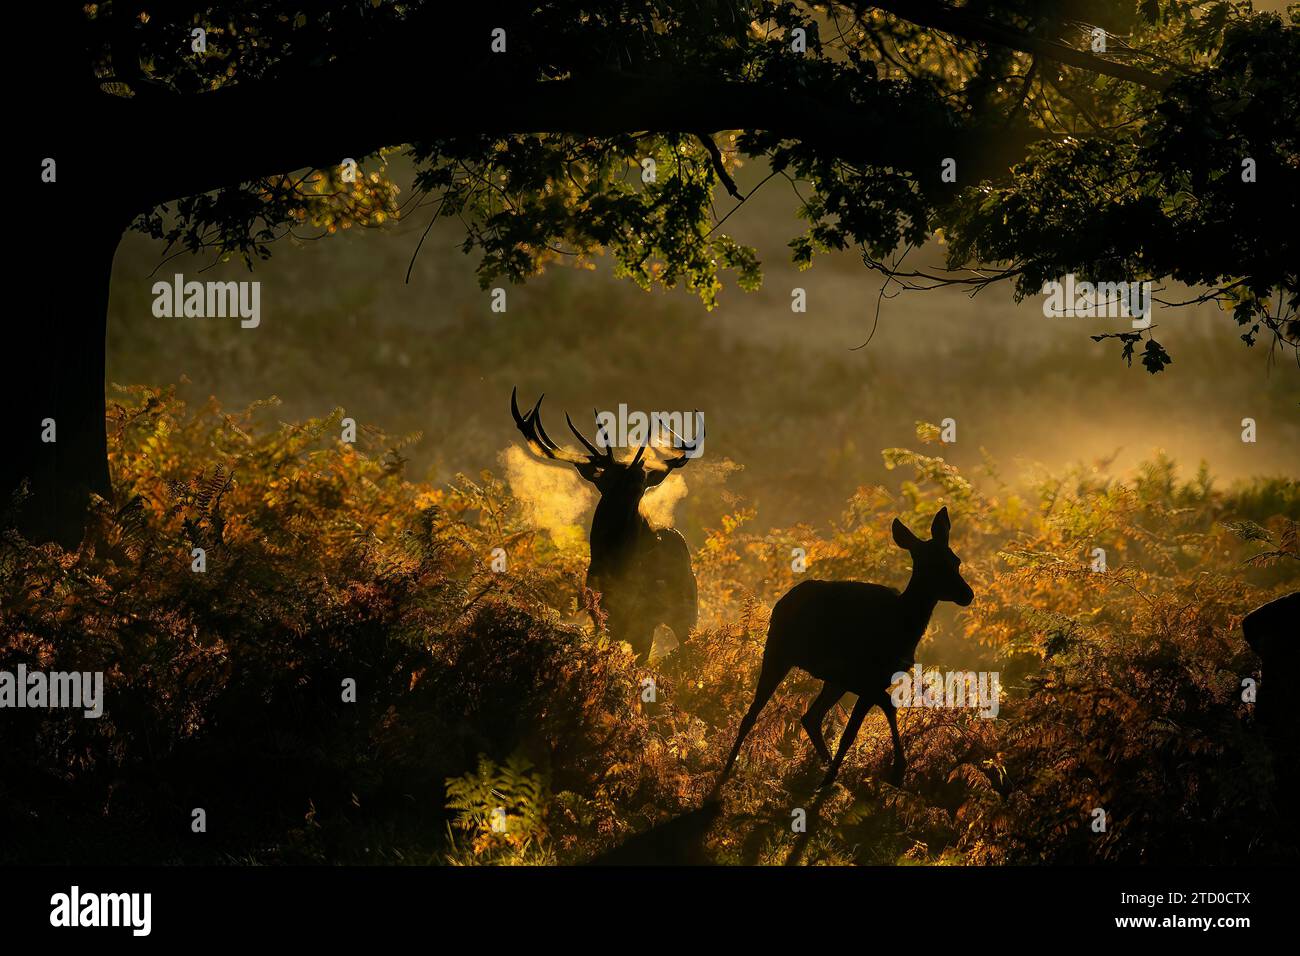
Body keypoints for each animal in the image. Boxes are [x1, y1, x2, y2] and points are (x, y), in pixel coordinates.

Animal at [511, 388, 701, 660]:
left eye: (641, 481)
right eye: (608, 478)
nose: (631, 487)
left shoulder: (643, 617)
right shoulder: (600, 613)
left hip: (687, 607)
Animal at [717, 507, 973, 791]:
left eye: (955, 560)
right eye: (932, 565)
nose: (967, 594)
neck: (903, 628)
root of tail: (784, 599)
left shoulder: (868, 679)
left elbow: (863, 722)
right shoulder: (864, 678)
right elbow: (860, 725)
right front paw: (896, 770)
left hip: (829, 677)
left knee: (810, 716)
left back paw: (827, 769)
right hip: (778, 652)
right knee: (752, 714)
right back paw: (724, 777)